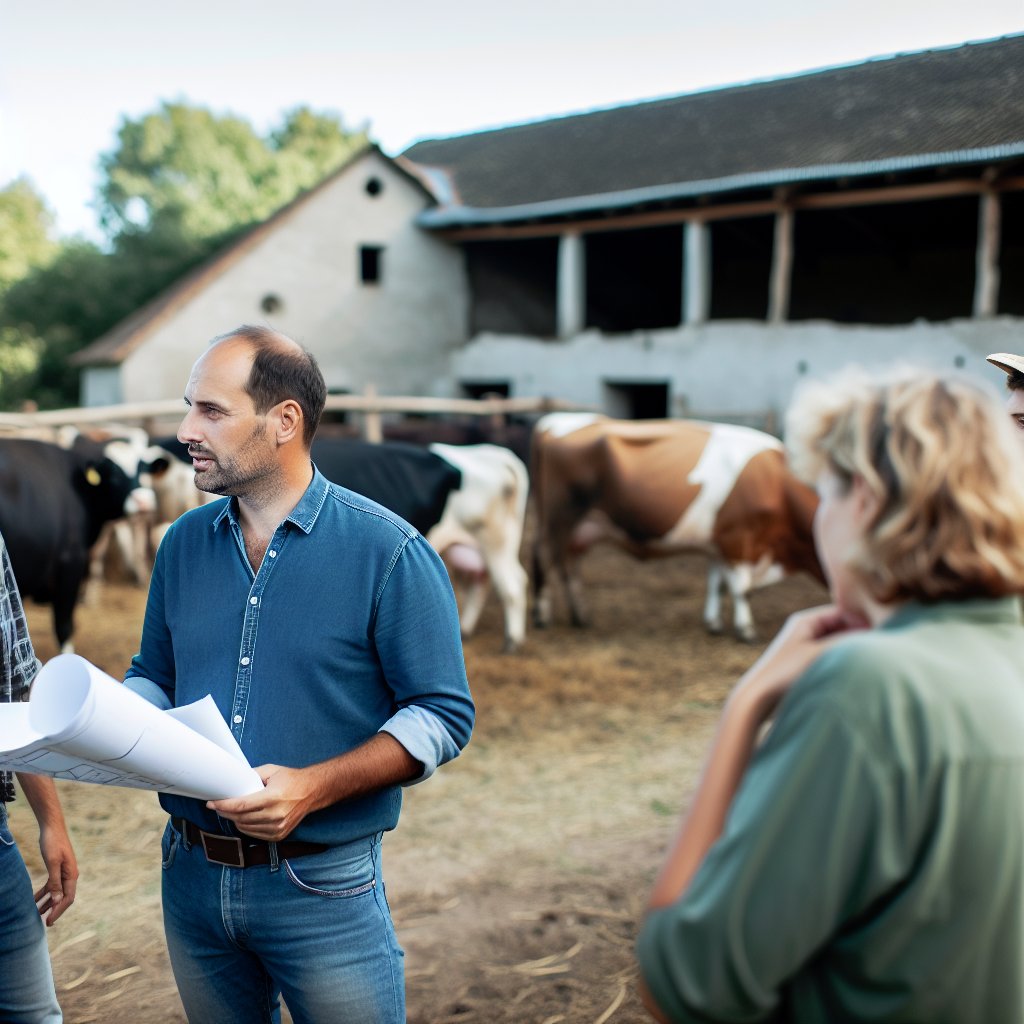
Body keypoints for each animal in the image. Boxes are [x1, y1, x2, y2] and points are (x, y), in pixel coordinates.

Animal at [528, 409, 823, 638]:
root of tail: (554, 421)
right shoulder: (737, 539)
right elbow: (741, 589)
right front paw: (745, 630)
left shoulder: (719, 543)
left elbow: (717, 584)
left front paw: (714, 624)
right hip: (560, 517)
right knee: (544, 556)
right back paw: (542, 617)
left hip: (577, 527)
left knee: (568, 564)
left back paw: (581, 617)